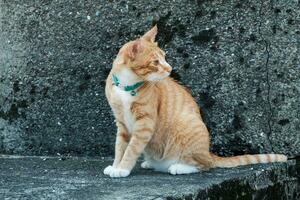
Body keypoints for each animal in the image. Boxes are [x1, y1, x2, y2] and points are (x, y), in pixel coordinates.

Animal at [102, 25, 286, 177]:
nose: (170, 69)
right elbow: (120, 147)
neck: (125, 87)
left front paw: (123, 169)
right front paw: (116, 166)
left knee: (205, 165)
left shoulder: (144, 124)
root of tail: (208, 153)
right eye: (155, 62)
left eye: (164, 57)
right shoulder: (122, 123)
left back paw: (179, 167)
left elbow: (131, 149)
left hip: (188, 129)